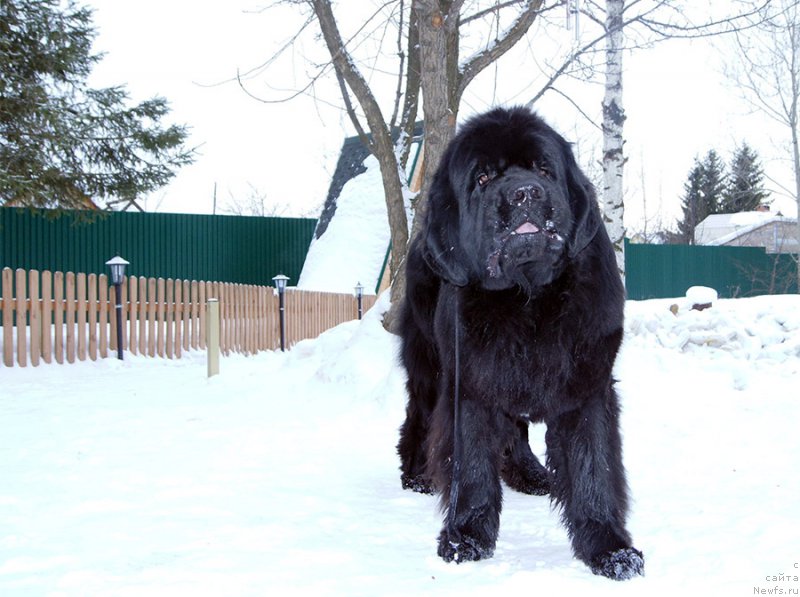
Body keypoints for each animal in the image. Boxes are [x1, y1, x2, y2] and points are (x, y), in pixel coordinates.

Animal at [398, 105, 644, 580]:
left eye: (543, 169)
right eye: (481, 178)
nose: (525, 192)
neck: (528, 299)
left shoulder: (588, 387)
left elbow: (594, 468)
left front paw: (610, 550)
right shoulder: (470, 385)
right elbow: (472, 466)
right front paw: (467, 537)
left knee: (516, 429)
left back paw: (530, 475)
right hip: (429, 362)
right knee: (419, 413)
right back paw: (416, 474)